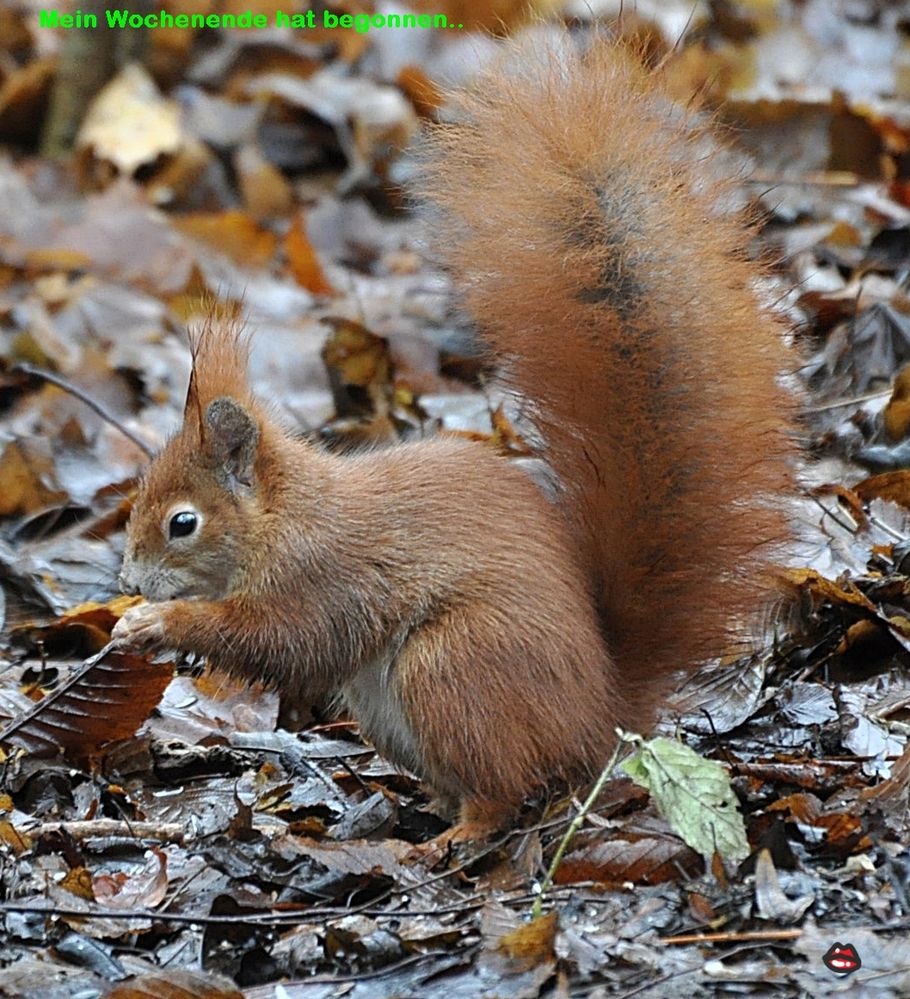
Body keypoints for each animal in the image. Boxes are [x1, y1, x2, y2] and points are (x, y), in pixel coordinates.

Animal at [112, 37, 800, 836]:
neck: (284, 517)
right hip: (395, 709)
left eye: (182, 523)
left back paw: (449, 839)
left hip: (452, 665)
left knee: (502, 789)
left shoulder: (323, 577)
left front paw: (158, 622)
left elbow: (283, 638)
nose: (128, 584)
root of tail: (602, 711)